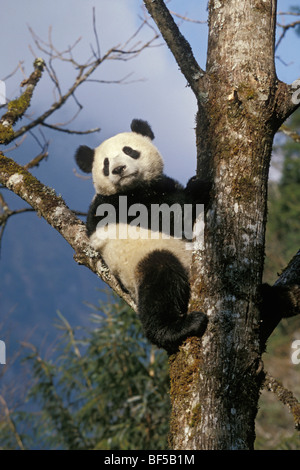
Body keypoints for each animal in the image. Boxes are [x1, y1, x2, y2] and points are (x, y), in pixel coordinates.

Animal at [74, 117, 211, 352]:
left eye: (129, 151)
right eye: (106, 164)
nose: (119, 169)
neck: (133, 189)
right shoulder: (119, 206)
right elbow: (172, 216)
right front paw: (198, 186)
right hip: (143, 261)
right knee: (160, 281)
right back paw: (177, 327)